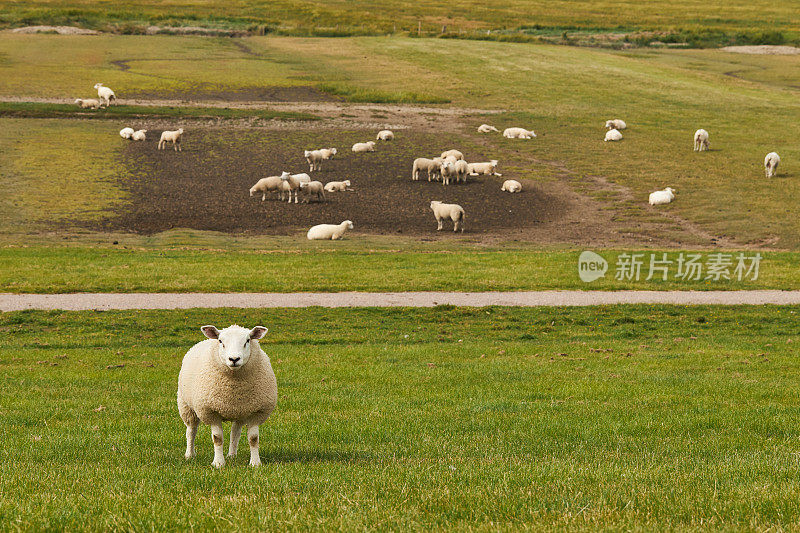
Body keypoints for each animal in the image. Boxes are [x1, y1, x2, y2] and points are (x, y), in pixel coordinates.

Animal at [177, 322, 276, 468]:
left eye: (247, 340)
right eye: (220, 341)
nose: (234, 359)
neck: (234, 387)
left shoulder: (257, 412)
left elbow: (253, 439)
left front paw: (255, 463)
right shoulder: (210, 411)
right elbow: (217, 438)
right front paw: (218, 463)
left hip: (240, 412)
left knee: (235, 432)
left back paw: (232, 455)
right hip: (185, 405)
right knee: (191, 430)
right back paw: (190, 454)